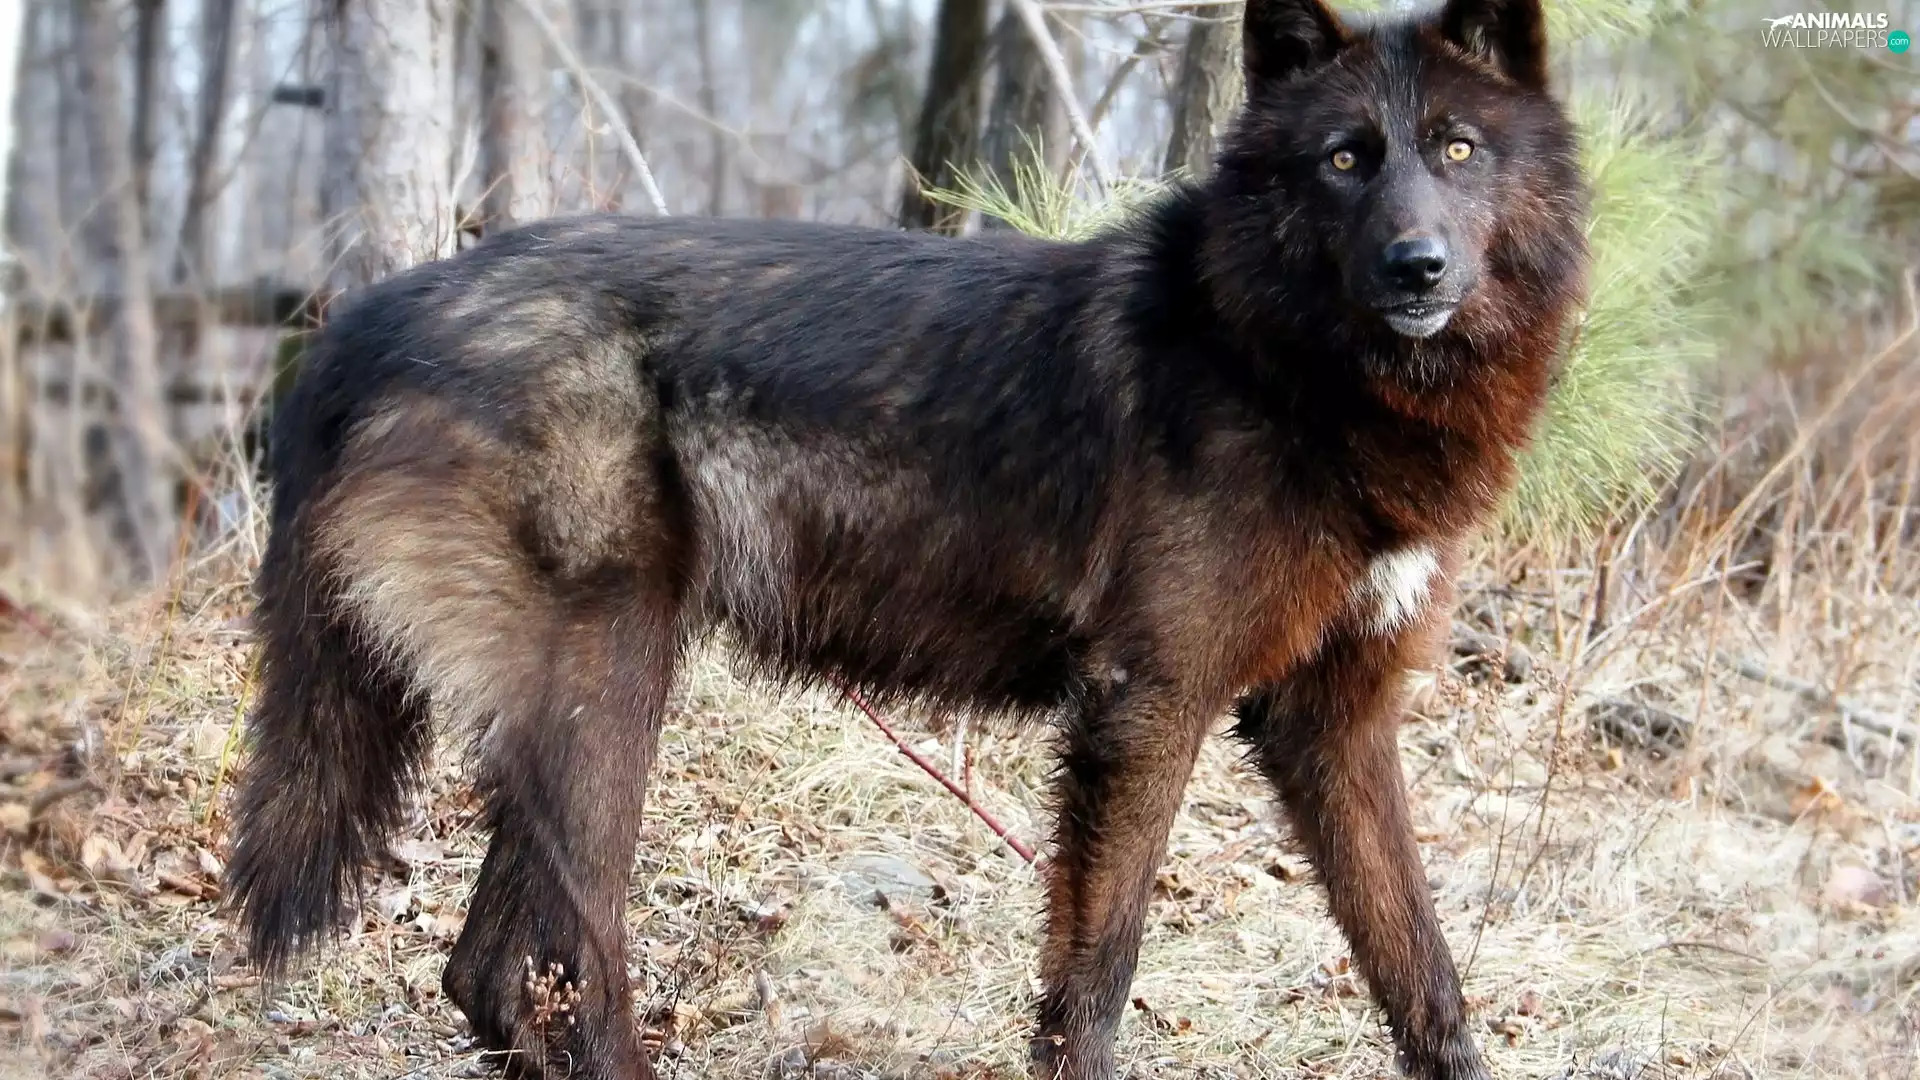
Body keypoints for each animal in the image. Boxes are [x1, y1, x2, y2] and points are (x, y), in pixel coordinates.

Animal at [223, 1, 1587, 1077]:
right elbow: (1096, 981)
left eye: (1456, 149)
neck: (1283, 360)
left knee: (489, 973)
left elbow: (1424, 973)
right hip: (608, 693)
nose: (1416, 266)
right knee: (545, 966)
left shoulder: (1333, 723)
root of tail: (376, 313)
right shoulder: (1146, 708)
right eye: (1346, 159)